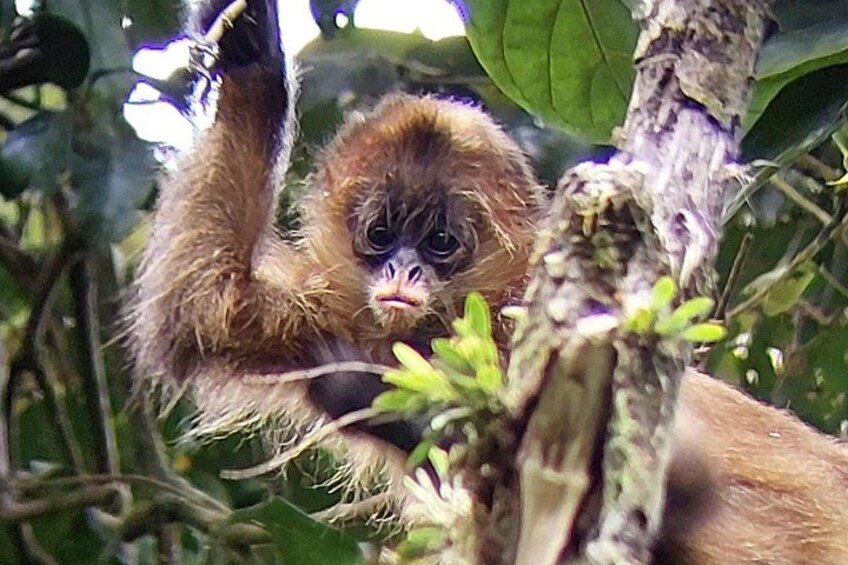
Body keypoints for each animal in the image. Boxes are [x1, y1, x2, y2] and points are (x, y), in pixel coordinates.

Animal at [128, 0, 848, 562]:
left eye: (441, 242)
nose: (404, 270)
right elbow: (202, 309)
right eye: (382, 233)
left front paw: (373, 395)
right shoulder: (330, 311)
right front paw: (251, 48)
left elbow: (685, 474)